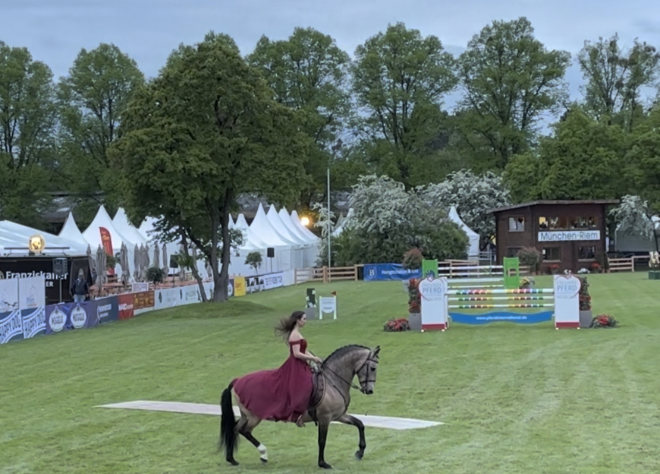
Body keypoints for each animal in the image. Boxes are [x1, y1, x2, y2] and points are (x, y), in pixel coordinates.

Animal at [219, 342, 378, 468]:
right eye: (373, 368)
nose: (370, 390)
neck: (332, 381)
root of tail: (238, 380)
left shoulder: (339, 415)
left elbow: (360, 424)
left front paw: (360, 452)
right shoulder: (325, 418)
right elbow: (322, 441)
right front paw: (322, 463)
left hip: (246, 416)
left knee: (235, 429)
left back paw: (231, 459)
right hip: (254, 417)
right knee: (244, 431)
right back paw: (263, 454)